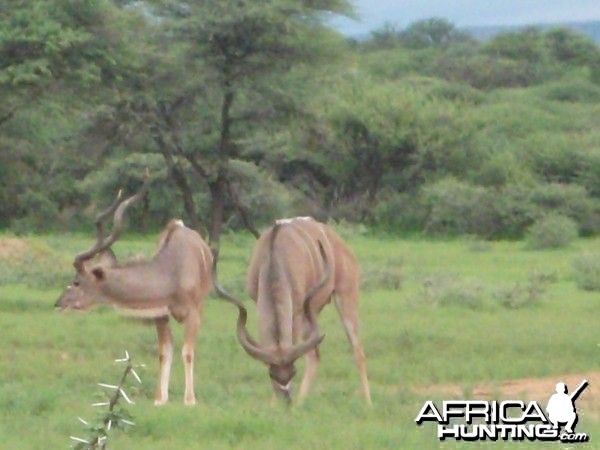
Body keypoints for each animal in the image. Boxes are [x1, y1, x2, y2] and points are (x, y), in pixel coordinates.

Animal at [54, 176, 213, 404]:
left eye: (76, 281)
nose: (59, 303)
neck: (170, 274)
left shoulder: (192, 315)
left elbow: (188, 352)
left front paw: (190, 401)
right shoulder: (160, 316)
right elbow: (164, 352)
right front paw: (159, 400)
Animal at [211, 216, 370, 406]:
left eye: (293, 371)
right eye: (271, 373)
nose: (286, 400)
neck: (274, 256)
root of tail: (341, 244)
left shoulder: (297, 309)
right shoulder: (257, 301)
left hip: (344, 299)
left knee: (357, 351)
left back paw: (368, 403)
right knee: (315, 356)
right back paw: (302, 402)